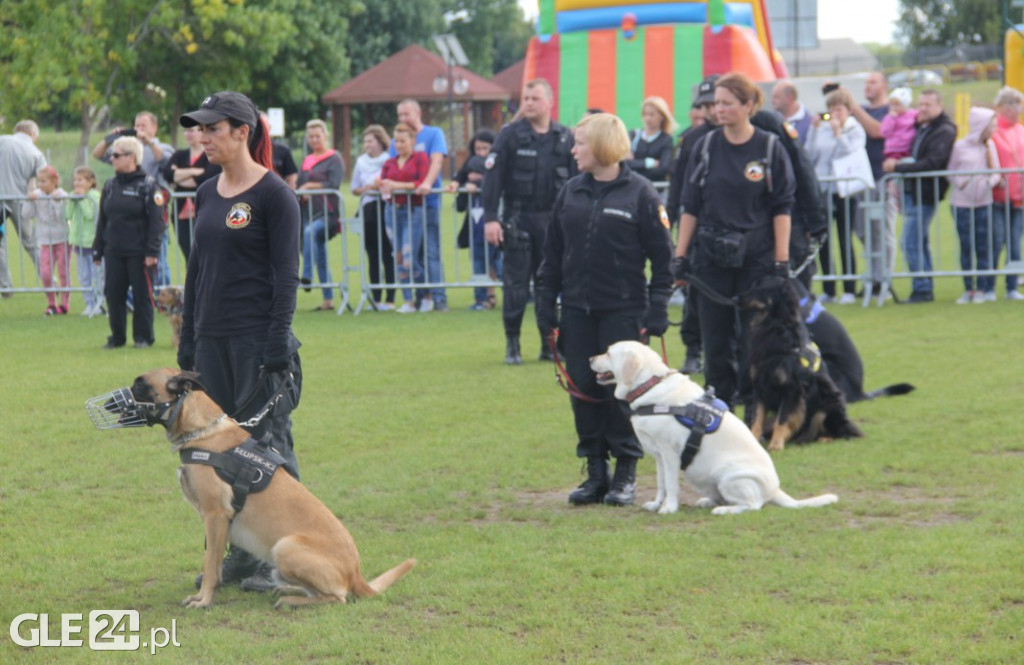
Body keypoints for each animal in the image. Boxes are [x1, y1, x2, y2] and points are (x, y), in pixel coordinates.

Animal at [129, 368, 415, 606]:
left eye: (140, 385)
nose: (118, 397)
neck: (202, 430)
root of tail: (355, 574)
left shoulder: (215, 516)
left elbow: (210, 566)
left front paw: (204, 600)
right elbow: (212, 562)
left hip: (285, 547)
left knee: (337, 597)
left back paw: (293, 600)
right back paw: (289, 589)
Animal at [589, 340, 835, 516]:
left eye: (608, 353)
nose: (590, 357)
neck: (650, 385)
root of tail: (775, 489)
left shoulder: (670, 454)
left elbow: (671, 484)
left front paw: (668, 508)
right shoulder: (659, 456)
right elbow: (661, 484)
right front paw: (657, 503)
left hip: (729, 477)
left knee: (754, 505)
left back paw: (724, 509)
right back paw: (709, 502)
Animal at [741, 274, 860, 450]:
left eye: (760, 287)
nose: (736, 298)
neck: (775, 326)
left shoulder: (792, 388)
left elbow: (781, 420)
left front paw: (776, 445)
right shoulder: (760, 387)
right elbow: (757, 419)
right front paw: (754, 441)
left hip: (829, 402)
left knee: (842, 431)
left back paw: (824, 438)